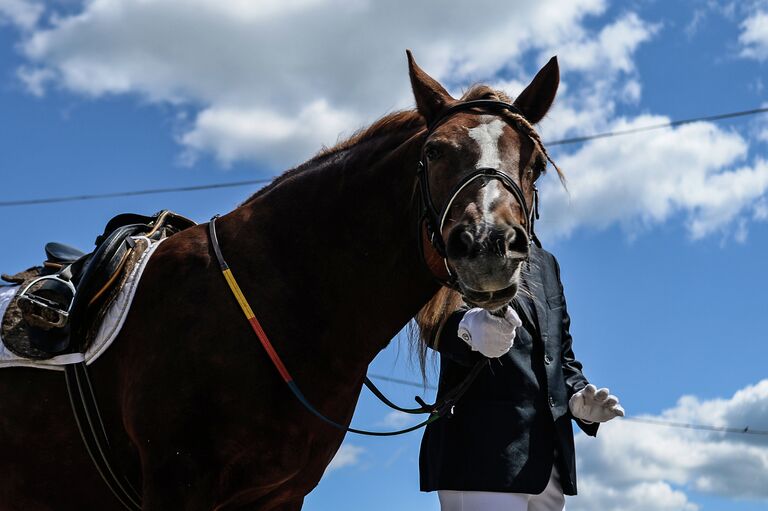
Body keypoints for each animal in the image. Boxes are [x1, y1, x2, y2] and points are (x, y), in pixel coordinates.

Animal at [0, 53, 564, 511]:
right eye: (434, 152)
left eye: (535, 163)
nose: (488, 245)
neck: (279, 296)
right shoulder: (176, 482)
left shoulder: (280, 494)